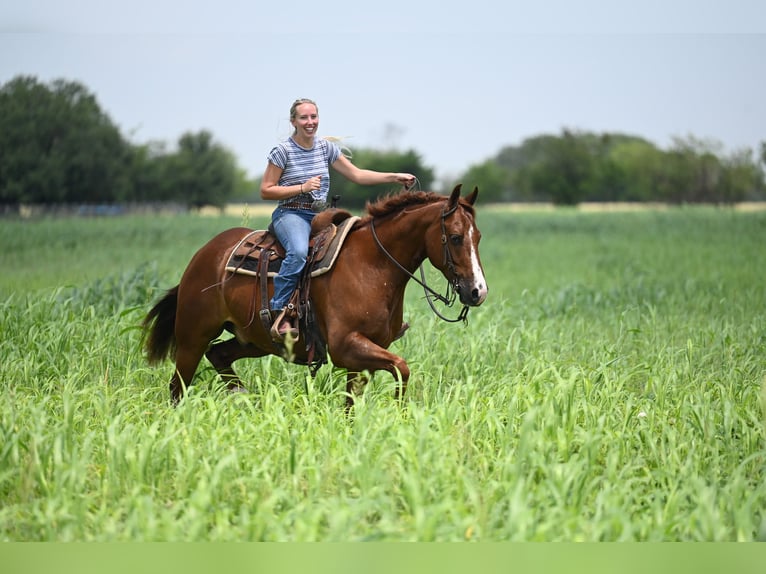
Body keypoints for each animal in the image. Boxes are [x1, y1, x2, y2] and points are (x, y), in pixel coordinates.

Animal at [142, 184, 488, 408]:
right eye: (455, 237)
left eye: (478, 236)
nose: (477, 291)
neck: (372, 265)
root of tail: (205, 254)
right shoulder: (346, 347)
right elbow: (402, 368)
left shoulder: (360, 358)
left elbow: (353, 403)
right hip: (192, 338)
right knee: (177, 387)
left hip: (252, 340)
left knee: (219, 355)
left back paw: (246, 399)